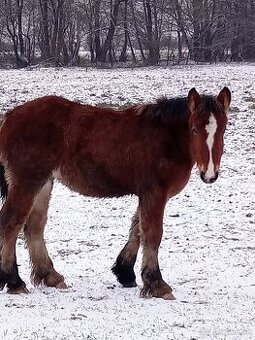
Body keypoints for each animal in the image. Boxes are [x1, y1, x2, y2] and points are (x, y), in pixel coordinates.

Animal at [0, 87, 231, 300]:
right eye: (194, 129)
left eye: (223, 129)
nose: (209, 174)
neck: (165, 138)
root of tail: (10, 117)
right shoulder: (155, 193)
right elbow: (152, 234)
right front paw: (156, 283)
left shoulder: (146, 194)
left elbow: (137, 230)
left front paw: (125, 273)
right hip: (28, 181)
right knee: (11, 223)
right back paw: (14, 281)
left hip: (44, 183)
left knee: (34, 226)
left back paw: (50, 276)